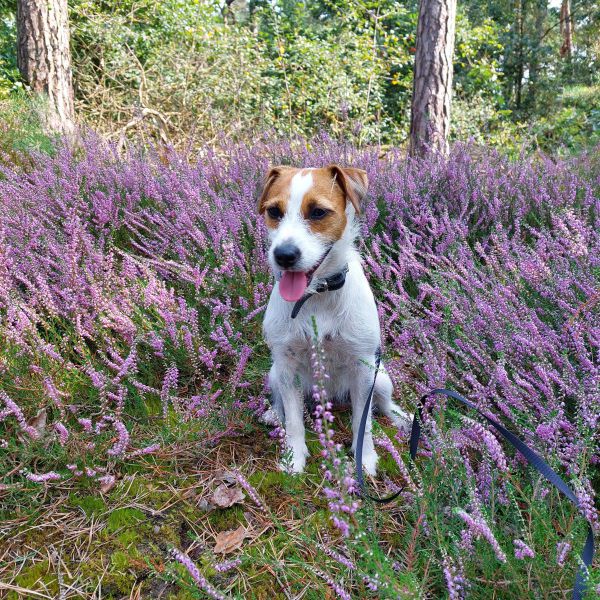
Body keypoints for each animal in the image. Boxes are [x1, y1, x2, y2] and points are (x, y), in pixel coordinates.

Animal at [258, 165, 412, 474]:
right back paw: (273, 414)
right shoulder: (287, 366)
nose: (283, 255)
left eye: (318, 212)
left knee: (385, 404)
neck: (317, 295)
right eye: (274, 211)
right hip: (275, 373)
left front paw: (364, 458)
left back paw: (403, 419)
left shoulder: (364, 368)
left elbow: (362, 422)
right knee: (281, 403)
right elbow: (294, 421)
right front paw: (294, 458)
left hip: (380, 377)